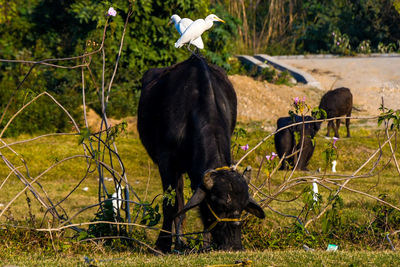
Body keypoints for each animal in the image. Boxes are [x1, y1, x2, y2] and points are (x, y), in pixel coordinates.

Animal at [138, 55, 266, 254]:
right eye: (218, 203)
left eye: (243, 205)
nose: (234, 245)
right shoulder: (166, 162)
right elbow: (170, 205)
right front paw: (163, 244)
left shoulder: (195, 170)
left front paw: (206, 245)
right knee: (179, 203)